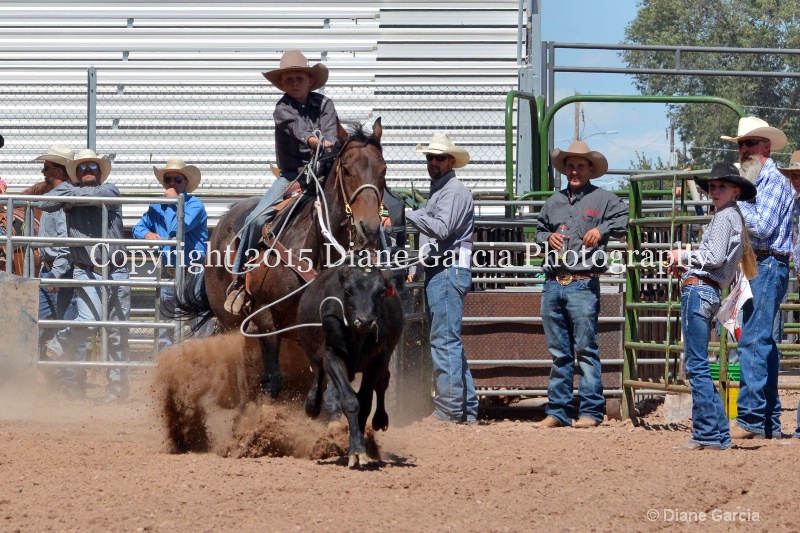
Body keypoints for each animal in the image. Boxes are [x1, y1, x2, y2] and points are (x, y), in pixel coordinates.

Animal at [180, 118, 384, 396]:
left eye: (383, 170)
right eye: (347, 169)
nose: (369, 228)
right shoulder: (266, 316)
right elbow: (272, 379)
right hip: (230, 321)